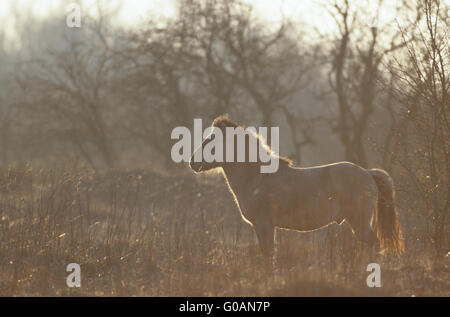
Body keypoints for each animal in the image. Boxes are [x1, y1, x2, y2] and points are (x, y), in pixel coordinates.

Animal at [188, 115, 406, 258]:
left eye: (211, 140)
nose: (192, 162)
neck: (257, 177)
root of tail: (367, 173)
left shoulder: (265, 225)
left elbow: (268, 257)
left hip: (360, 221)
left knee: (373, 246)